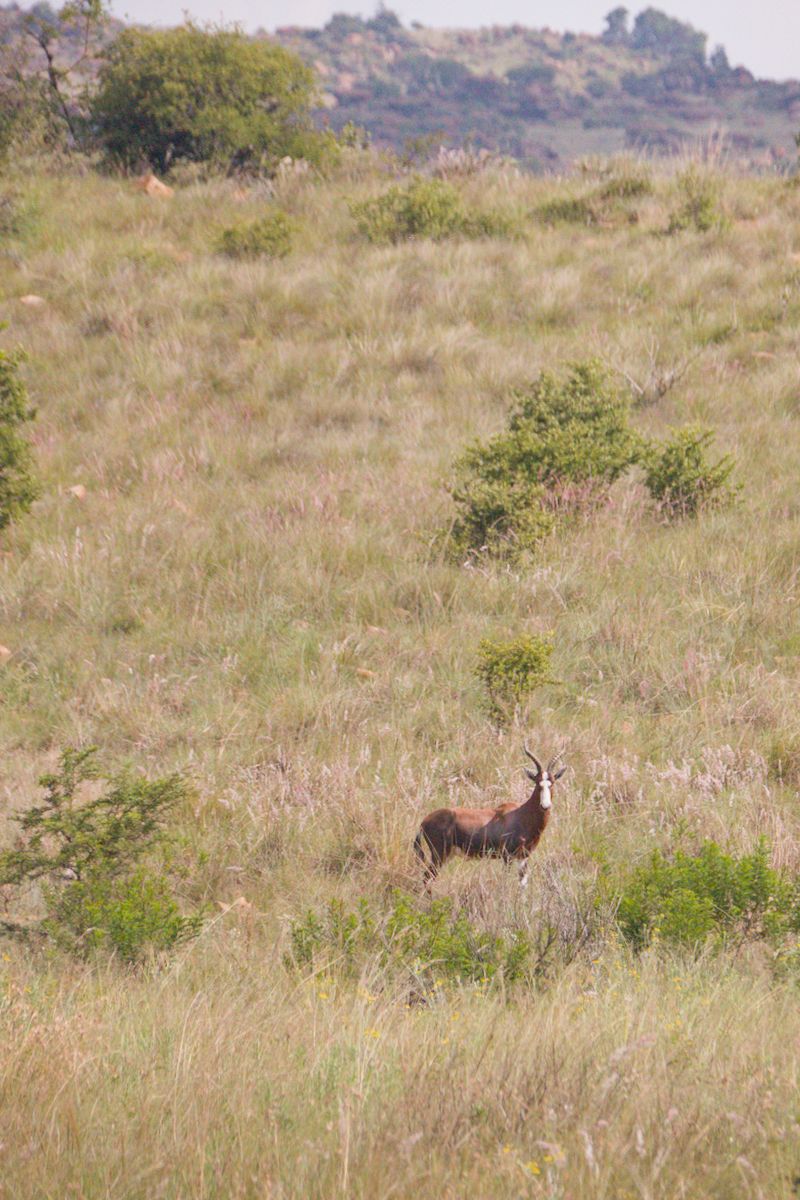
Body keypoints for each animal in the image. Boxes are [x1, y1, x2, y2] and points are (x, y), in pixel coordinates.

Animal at [413, 747, 566, 887]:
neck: (522, 813)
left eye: (552, 783)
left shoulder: (523, 857)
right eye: (537, 783)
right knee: (426, 878)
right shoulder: (507, 856)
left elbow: (522, 885)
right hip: (439, 855)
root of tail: (423, 822)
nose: (545, 806)